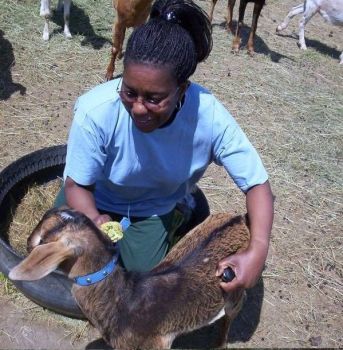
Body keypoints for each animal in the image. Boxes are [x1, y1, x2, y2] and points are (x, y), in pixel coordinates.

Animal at [9, 208, 251, 350]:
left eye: (43, 237)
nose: (28, 241)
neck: (124, 299)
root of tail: (239, 217)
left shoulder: (156, 345)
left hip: (236, 288)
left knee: (235, 309)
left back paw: (219, 343)